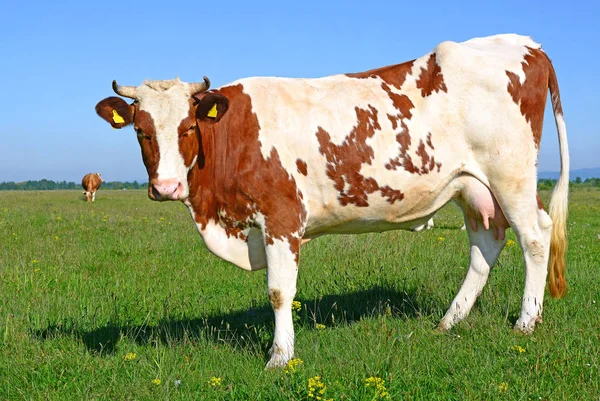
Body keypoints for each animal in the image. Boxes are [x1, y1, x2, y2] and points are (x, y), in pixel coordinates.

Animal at [94, 35, 568, 368]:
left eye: (189, 126)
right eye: (140, 130)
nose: (167, 187)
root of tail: (527, 44)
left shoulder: (282, 216)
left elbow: (279, 292)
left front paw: (280, 357)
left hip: (511, 175)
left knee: (535, 236)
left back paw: (526, 322)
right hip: (472, 187)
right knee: (486, 246)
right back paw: (449, 321)